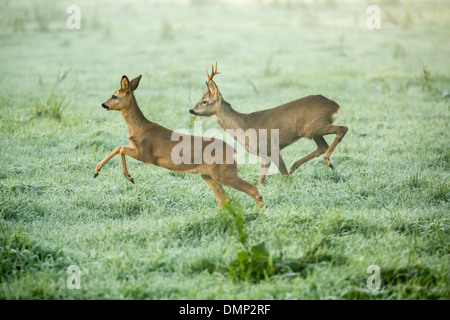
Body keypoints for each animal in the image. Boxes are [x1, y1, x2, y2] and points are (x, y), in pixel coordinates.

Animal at [95, 74, 264, 209]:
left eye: (114, 96)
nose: (103, 104)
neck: (139, 128)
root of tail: (234, 152)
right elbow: (120, 148)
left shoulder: (147, 154)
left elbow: (119, 148)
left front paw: (117, 175)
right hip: (208, 175)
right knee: (224, 199)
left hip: (223, 172)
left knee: (253, 190)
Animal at [189, 63, 348, 185]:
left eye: (204, 101)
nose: (191, 110)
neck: (243, 126)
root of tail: (335, 106)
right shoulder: (264, 155)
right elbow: (261, 180)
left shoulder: (271, 148)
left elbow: (284, 176)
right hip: (313, 129)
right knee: (322, 145)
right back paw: (296, 166)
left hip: (313, 126)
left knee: (342, 128)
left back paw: (327, 161)